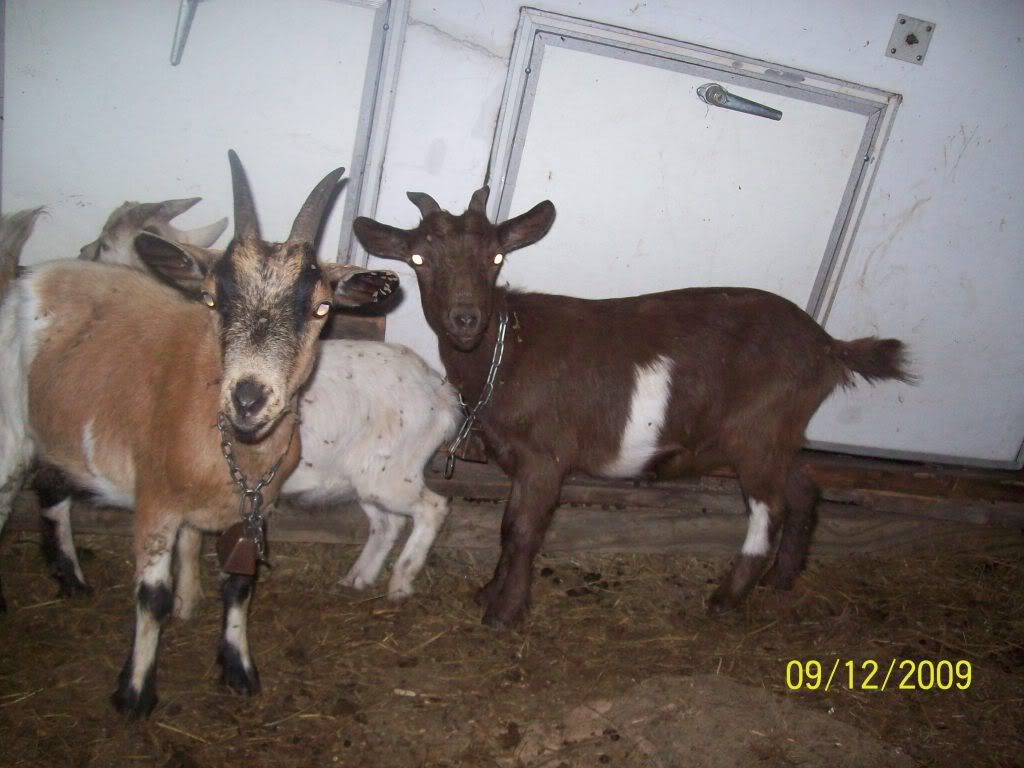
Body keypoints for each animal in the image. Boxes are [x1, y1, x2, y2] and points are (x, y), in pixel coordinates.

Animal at [0, 152, 398, 718]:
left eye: (321, 308)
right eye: (211, 299)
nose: (249, 399)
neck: (232, 453)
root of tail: (29, 273)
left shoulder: (252, 510)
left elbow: (239, 585)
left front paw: (238, 668)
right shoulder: (155, 503)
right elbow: (152, 598)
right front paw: (136, 693)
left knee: (52, 487)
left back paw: (72, 579)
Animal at [35, 200, 460, 607]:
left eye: (107, 243)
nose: (83, 254)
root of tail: (440, 394)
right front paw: (188, 600)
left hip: (393, 475)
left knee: (433, 508)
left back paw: (400, 585)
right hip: (370, 476)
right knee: (387, 524)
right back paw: (357, 578)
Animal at [353, 187, 913, 629]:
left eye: (496, 258)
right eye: (419, 260)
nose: (466, 319)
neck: (506, 351)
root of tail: (828, 346)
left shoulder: (546, 458)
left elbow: (523, 532)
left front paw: (504, 613)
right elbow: (508, 529)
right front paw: (488, 594)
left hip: (758, 435)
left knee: (768, 510)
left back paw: (727, 598)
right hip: (777, 435)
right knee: (802, 487)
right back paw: (782, 578)